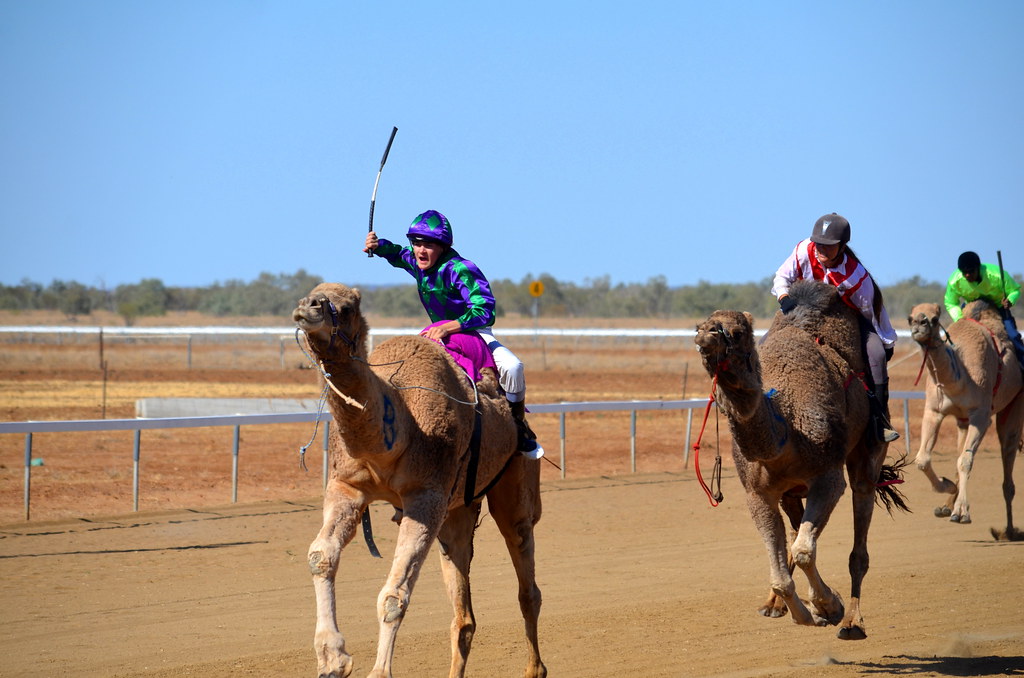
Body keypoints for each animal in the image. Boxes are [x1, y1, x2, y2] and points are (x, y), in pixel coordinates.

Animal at [293, 282, 546, 678]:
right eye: (310, 294)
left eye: (347, 307)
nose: (309, 308)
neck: (402, 427)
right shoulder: (347, 487)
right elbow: (320, 556)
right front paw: (333, 660)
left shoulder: (425, 495)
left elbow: (393, 596)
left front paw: (376, 672)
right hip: (458, 511)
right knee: (463, 612)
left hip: (515, 484)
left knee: (526, 581)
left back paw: (535, 669)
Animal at [694, 279, 907, 640]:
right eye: (702, 324)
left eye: (736, 332)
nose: (704, 337)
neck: (787, 428)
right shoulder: (758, 493)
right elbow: (783, 569)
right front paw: (806, 613)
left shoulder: (828, 478)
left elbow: (805, 551)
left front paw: (829, 607)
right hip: (790, 493)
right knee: (795, 533)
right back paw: (774, 606)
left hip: (866, 454)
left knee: (858, 536)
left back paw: (852, 623)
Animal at [907, 300, 1024, 540]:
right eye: (909, 318)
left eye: (934, 319)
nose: (918, 326)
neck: (959, 379)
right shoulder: (934, 410)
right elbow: (923, 459)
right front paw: (948, 487)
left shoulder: (981, 415)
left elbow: (965, 461)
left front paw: (962, 513)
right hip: (962, 420)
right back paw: (946, 506)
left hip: (1015, 400)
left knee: (1007, 452)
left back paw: (1008, 531)